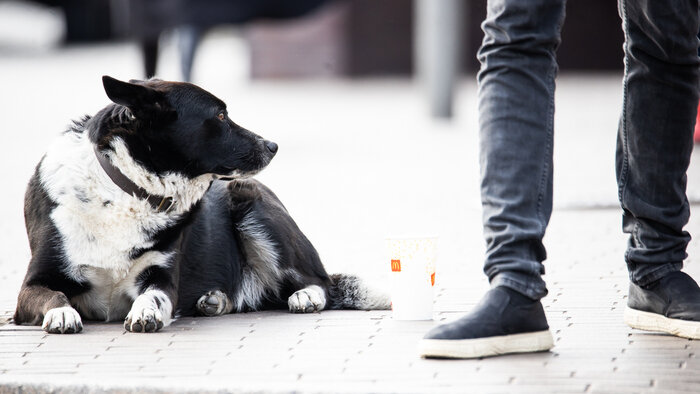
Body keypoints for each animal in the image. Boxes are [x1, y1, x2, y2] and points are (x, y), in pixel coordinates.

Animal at [15, 76, 388, 332]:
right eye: (220, 116)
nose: (273, 145)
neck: (127, 191)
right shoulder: (32, 286)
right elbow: (52, 295)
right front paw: (62, 312)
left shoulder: (162, 278)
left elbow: (155, 295)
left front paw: (146, 311)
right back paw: (215, 300)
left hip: (252, 202)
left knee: (321, 282)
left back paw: (303, 296)